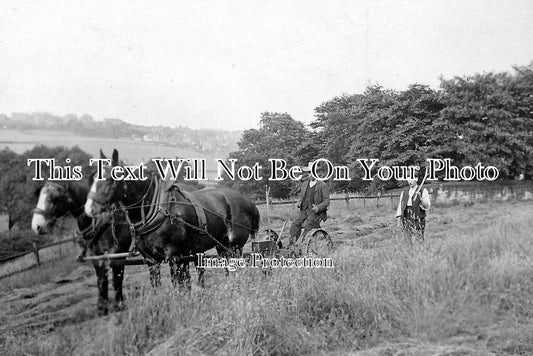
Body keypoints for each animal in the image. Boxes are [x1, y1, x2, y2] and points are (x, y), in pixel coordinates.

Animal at [83, 147, 262, 284]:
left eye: (110, 179)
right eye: (93, 178)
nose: (89, 208)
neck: (156, 210)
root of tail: (248, 201)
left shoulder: (174, 257)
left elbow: (179, 287)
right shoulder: (151, 261)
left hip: (235, 246)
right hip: (222, 245)